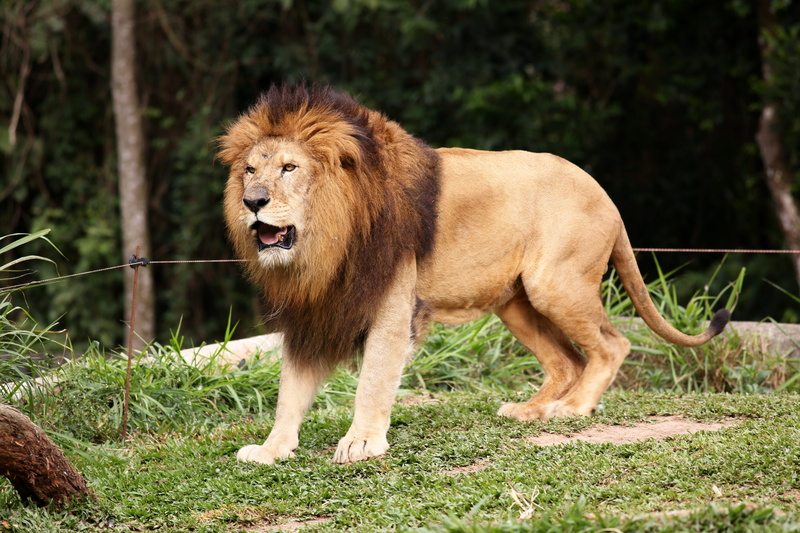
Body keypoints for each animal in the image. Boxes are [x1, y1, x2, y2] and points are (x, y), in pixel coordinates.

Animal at [217, 84, 730, 465]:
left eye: (289, 168)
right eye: (250, 170)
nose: (252, 201)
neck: (324, 244)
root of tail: (605, 195)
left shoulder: (391, 305)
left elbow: (374, 379)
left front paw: (361, 441)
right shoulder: (313, 312)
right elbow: (291, 390)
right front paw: (271, 450)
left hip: (555, 285)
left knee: (611, 345)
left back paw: (571, 409)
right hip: (516, 303)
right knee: (568, 360)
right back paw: (529, 411)